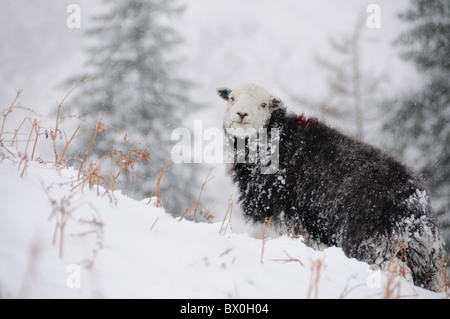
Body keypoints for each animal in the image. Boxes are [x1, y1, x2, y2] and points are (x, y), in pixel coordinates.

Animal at [217, 83, 446, 292]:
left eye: (263, 104)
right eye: (232, 98)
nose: (241, 114)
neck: (273, 142)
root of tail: (418, 209)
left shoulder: (288, 217)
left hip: (376, 245)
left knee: (398, 273)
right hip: (426, 265)